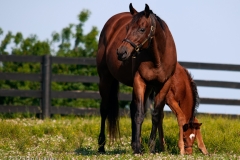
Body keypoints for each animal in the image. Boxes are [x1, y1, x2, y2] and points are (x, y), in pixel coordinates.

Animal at [96, 3, 177, 154]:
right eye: (127, 28)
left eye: (142, 29)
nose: (121, 52)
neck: (157, 58)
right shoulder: (140, 81)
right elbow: (139, 114)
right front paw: (139, 148)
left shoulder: (163, 85)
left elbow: (156, 115)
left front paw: (151, 147)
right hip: (105, 78)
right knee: (104, 109)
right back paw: (101, 146)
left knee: (133, 108)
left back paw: (133, 144)